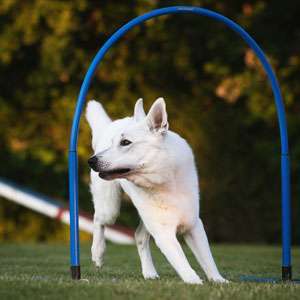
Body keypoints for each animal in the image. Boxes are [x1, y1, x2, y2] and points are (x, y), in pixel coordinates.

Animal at [85, 98, 226, 284]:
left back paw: (149, 273)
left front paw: (218, 280)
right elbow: (181, 260)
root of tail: (110, 124)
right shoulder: (163, 232)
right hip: (111, 210)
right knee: (98, 220)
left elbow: (207, 259)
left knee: (139, 236)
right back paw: (98, 253)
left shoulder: (193, 225)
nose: (91, 161)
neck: (166, 181)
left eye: (125, 142)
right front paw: (194, 281)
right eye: (114, 143)